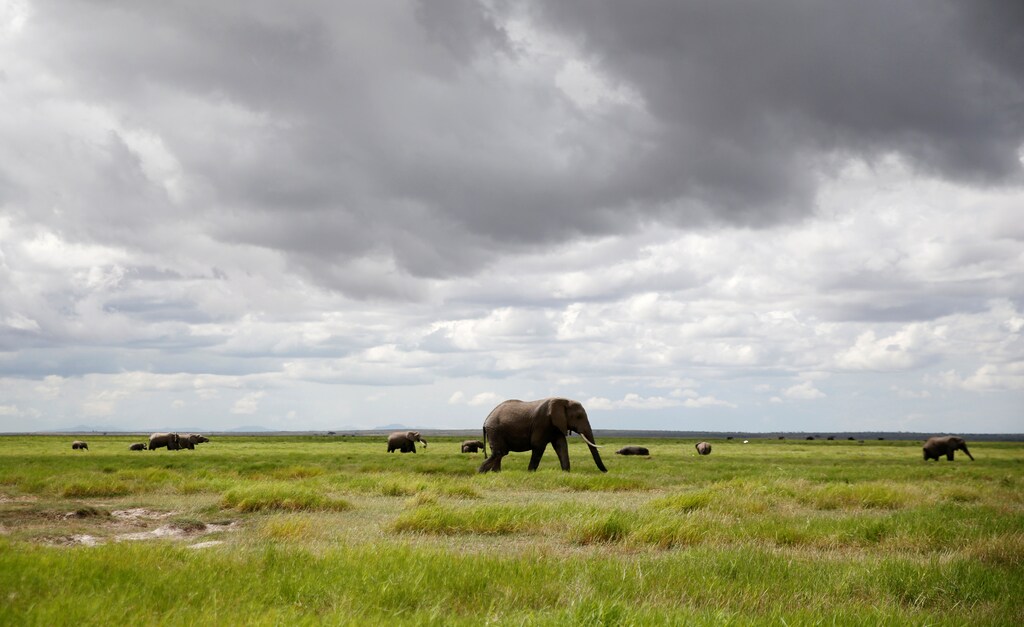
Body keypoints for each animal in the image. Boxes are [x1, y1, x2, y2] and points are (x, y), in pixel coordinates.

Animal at [478, 397, 607, 473]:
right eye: (579, 417)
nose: (606, 472)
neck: (562, 400)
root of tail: (485, 420)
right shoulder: (542, 422)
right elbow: (538, 445)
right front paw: (530, 473)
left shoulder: (556, 425)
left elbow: (561, 446)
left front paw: (566, 473)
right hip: (495, 431)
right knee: (500, 452)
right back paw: (483, 472)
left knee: (500, 453)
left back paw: (495, 473)